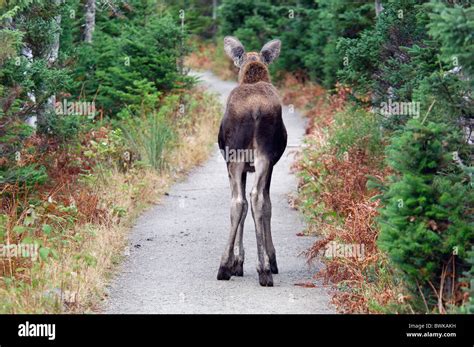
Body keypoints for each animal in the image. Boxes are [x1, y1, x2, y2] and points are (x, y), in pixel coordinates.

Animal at [217, 36, 286, 286]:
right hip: (261, 157)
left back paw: (229, 265)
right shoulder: (262, 165)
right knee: (253, 199)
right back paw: (261, 268)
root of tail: (255, 110)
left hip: (239, 158)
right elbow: (262, 206)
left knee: (243, 201)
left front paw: (239, 261)